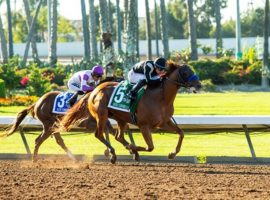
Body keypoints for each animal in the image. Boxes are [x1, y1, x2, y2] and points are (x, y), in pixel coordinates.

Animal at [60, 61, 200, 164]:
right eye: (185, 72)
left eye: (192, 70)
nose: (199, 85)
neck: (161, 98)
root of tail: (95, 89)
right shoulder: (144, 125)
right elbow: (150, 147)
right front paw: (132, 148)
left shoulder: (163, 122)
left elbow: (181, 133)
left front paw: (172, 154)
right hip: (101, 115)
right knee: (99, 134)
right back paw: (115, 153)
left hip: (120, 118)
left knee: (118, 136)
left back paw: (128, 152)